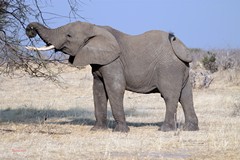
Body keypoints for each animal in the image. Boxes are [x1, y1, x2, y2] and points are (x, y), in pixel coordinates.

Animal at [26, 20, 199, 132]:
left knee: (170, 96)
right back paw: (190, 129)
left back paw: (164, 130)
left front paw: (120, 131)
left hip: (169, 68)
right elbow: (98, 90)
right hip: (181, 68)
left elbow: (115, 88)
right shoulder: (98, 62)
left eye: (68, 36)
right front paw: (96, 130)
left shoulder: (113, 62)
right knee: (186, 96)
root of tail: (181, 47)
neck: (96, 28)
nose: (30, 30)